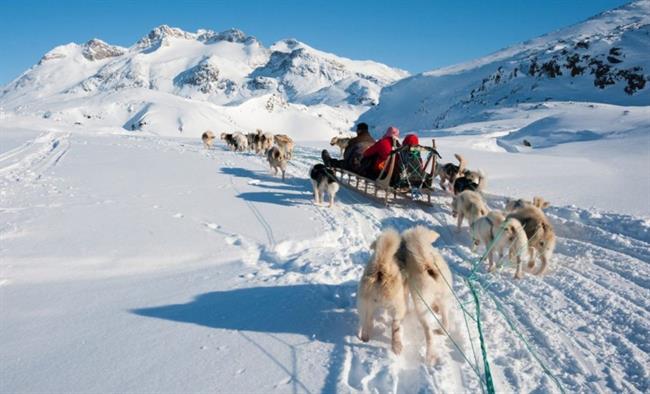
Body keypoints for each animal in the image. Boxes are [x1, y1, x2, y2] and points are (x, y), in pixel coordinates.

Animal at [400, 225, 450, 364]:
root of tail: (428, 265)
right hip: (444, 300)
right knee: (446, 321)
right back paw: (442, 330)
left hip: (421, 307)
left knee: (429, 333)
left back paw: (429, 356)